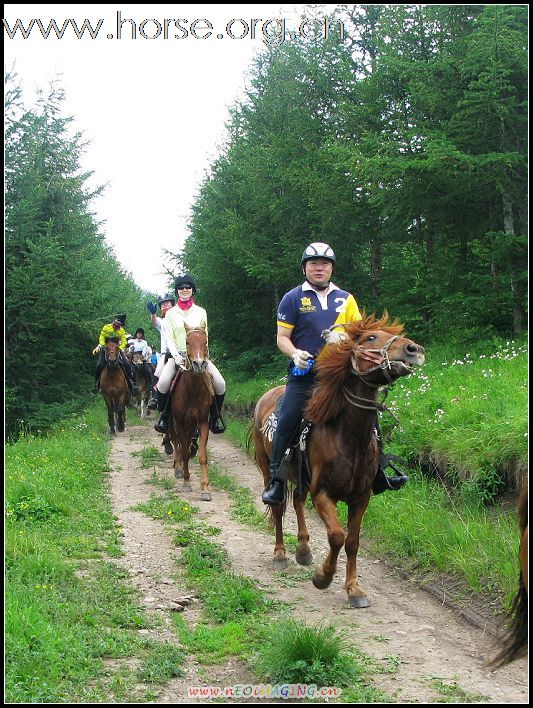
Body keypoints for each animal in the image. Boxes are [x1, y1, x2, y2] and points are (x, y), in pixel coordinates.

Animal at [168, 324, 214, 500]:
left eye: (205, 341)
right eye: (187, 342)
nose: (199, 364)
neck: (192, 389)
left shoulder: (202, 422)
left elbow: (202, 456)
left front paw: (205, 489)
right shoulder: (180, 423)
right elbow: (185, 452)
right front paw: (186, 482)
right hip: (174, 423)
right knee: (176, 442)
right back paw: (178, 468)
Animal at [252, 312, 424, 604]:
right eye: (370, 337)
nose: (414, 350)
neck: (347, 435)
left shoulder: (361, 497)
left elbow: (352, 541)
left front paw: (354, 588)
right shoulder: (323, 493)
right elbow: (336, 536)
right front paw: (323, 577)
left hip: (300, 476)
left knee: (297, 501)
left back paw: (303, 549)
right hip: (268, 469)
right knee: (278, 506)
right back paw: (280, 554)